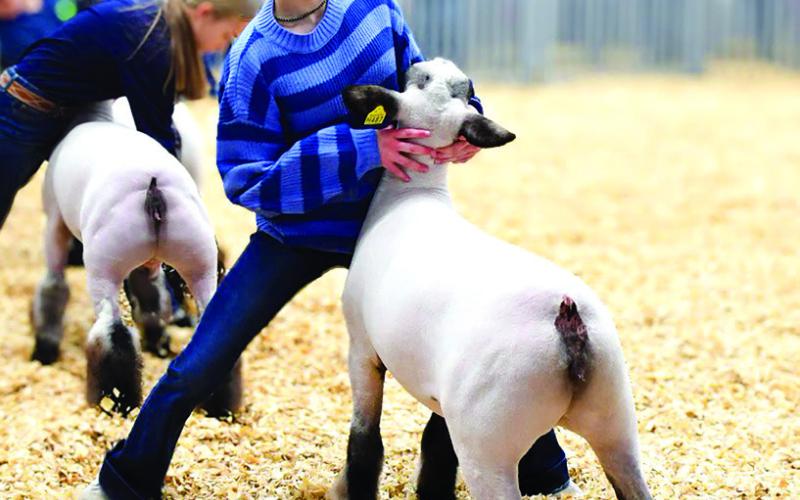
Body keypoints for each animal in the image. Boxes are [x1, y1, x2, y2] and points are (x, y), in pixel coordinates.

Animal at [30, 103, 241, 417]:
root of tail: (154, 189)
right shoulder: (148, 263)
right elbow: (150, 300)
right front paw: (156, 339)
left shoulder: (55, 222)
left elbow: (53, 285)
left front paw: (44, 350)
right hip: (198, 259)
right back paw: (219, 407)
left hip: (105, 265)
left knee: (112, 330)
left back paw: (117, 401)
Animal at [329, 59, 652, 500]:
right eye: (441, 85)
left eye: (422, 80)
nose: (435, 63)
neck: (413, 196)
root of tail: (567, 320)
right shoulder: (445, 394)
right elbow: (437, 445)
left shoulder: (361, 346)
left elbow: (364, 439)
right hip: (616, 420)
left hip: (490, 443)